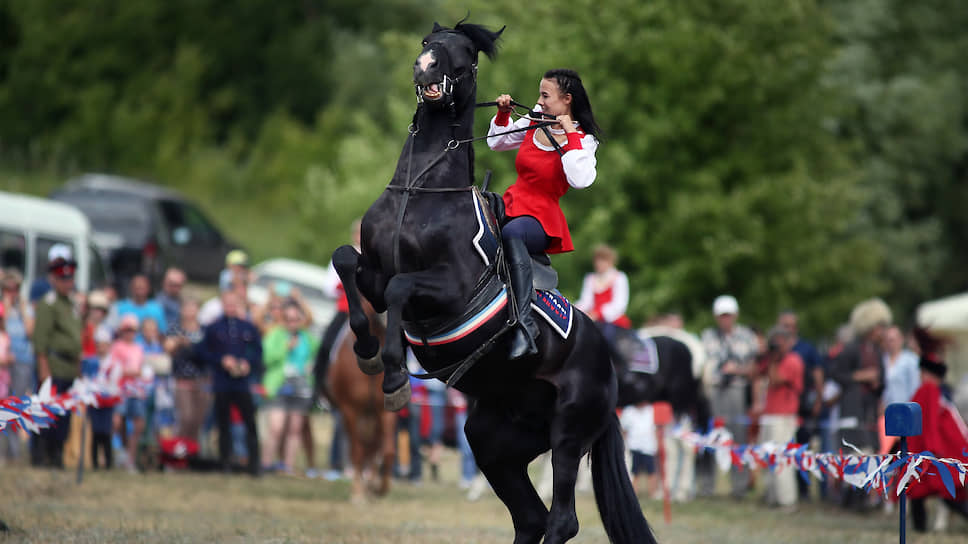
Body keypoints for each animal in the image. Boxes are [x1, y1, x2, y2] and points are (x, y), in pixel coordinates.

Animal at [326, 298, 398, 502]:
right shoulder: (350, 410)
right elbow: (357, 451)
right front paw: (357, 493)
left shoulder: (385, 412)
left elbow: (387, 451)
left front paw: (380, 489)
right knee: (363, 449)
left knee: (374, 449)